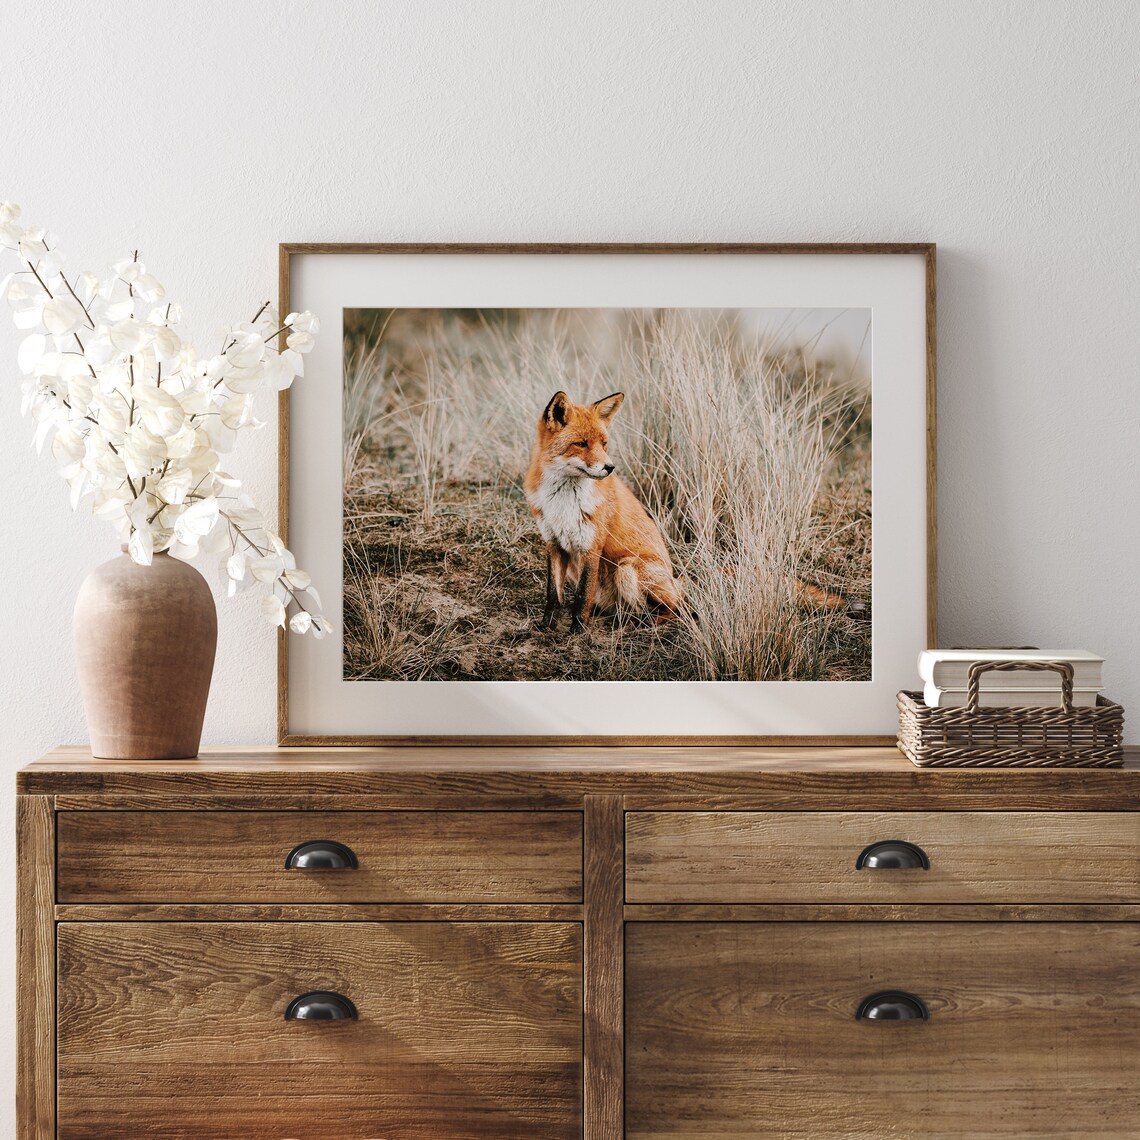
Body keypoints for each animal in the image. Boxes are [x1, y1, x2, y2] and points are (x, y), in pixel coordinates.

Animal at [524, 391, 683, 632]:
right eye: (581, 444)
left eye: (604, 444)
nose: (610, 468)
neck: (563, 502)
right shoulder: (553, 544)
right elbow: (553, 595)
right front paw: (547, 627)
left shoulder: (591, 546)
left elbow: (582, 595)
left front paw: (578, 631)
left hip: (627, 569)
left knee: (676, 607)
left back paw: (646, 622)